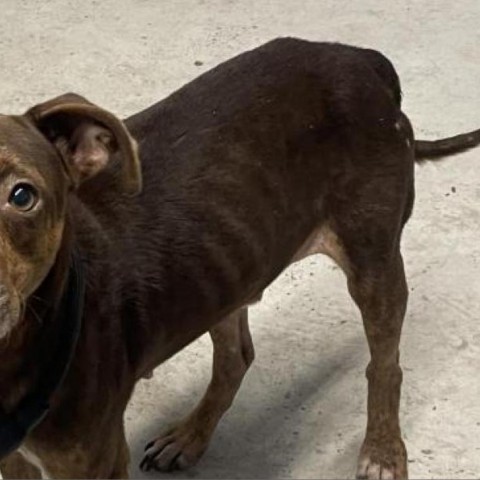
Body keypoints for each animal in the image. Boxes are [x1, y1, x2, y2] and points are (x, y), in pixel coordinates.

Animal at [0, 38, 478, 480]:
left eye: (22, 196)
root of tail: (363, 59)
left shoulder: (93, 459)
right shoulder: (17, 458)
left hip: (373, 261)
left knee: (385, 366)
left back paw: (383, 451)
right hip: (226, 269)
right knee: (236, 357)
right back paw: (189, 436)